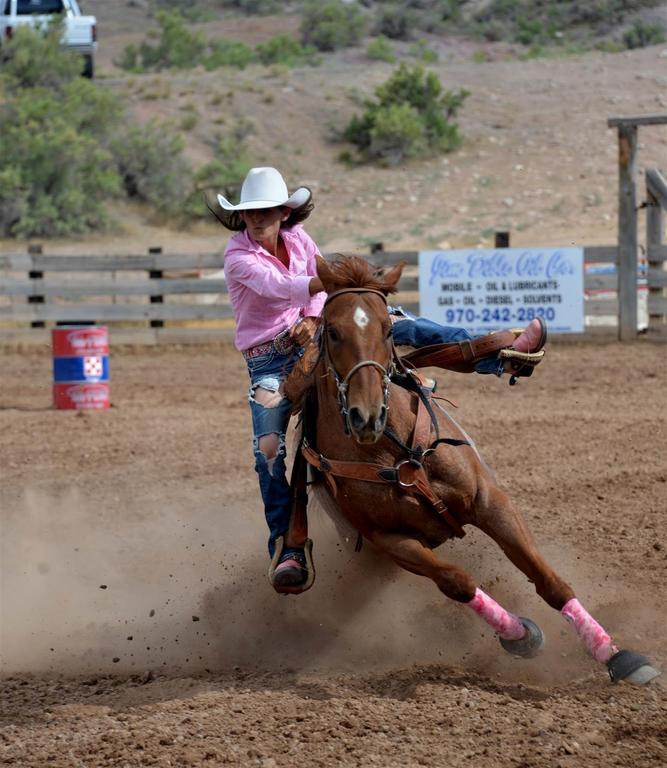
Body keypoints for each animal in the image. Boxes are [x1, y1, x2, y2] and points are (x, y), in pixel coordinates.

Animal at [288, 255, 656, 688]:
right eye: (332, 332)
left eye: (388, 328)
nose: (367, 416)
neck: (390, 450)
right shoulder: (390, 540)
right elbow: (458, 582)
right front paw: (520, 634)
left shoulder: (489, 500)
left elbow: (548, 580)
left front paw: (615, 655)